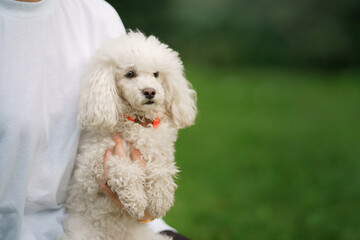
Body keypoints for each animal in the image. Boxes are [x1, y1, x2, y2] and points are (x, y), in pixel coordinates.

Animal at [62, 31, 197, 239]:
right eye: (130, 74)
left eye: (156, 74)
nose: (150, 92)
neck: (138, 123)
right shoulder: (89, 170)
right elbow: (122, 167)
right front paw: (136, 199)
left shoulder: (161, 153)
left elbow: (162, 168)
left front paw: (161, 198)